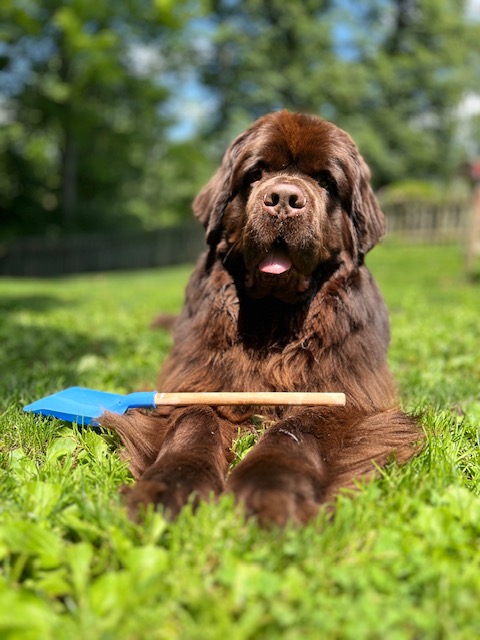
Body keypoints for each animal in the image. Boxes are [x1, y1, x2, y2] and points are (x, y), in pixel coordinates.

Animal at [104, 112, 420, 528]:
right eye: (256, 174)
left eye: (326, 182)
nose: (284, 198)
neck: (273, 320)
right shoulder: (194, 381)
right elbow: (196, 419)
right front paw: (170, 485)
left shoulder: (347, 395)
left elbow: (298, 427)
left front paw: (271, 488)